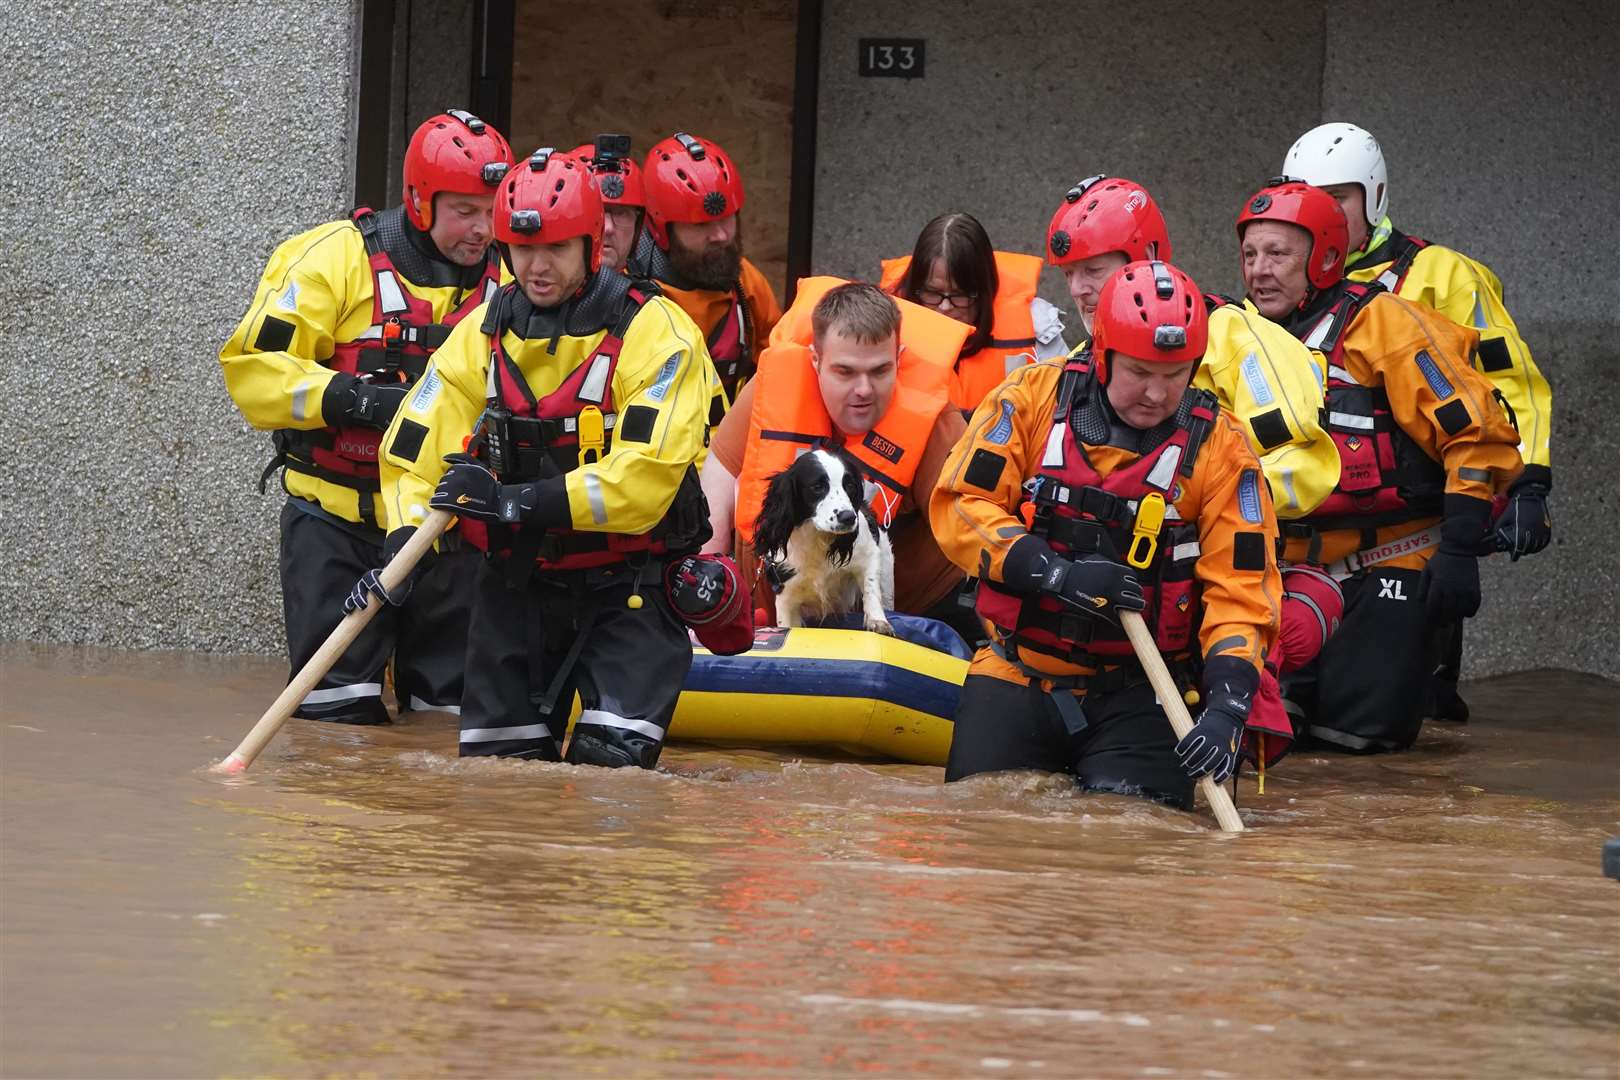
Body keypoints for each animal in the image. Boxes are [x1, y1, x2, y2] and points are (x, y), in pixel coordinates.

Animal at [748, 446, 894, 634]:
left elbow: (871, 588)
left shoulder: (869, 554)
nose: (848, 517)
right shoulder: (786, 595)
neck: (818, 538)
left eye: (850, 486)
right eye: (817, 487)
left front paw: (877, 621)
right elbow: (787, 625)